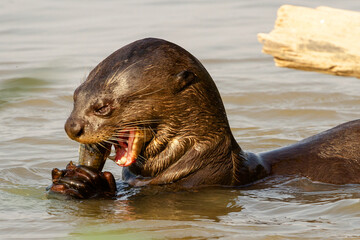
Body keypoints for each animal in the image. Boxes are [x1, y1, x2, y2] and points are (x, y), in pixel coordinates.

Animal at [48, 37, 360, 199]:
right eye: (76, 96)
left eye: (102, 107)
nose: (72, 127)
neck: (203, 159)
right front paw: (63, 179)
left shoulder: (192, 185)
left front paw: (87, 183)